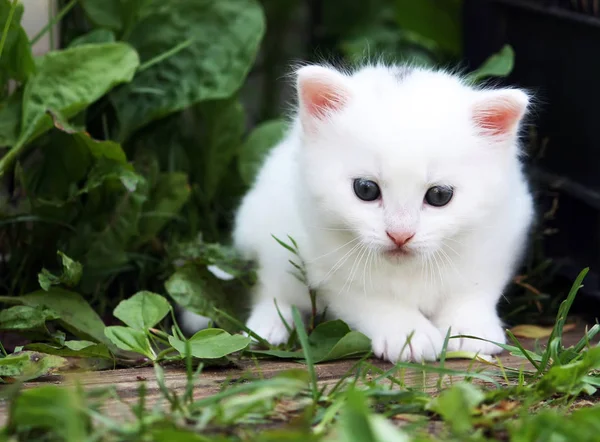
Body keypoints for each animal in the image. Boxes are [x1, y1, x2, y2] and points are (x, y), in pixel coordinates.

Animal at [231, 64, 536, 362]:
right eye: (366, 189)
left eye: (439, 195)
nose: (400, 235)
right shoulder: (324, 266)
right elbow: (372, 299)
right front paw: (410, 335)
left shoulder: (500, 235)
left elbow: (473, 288)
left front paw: (470, 329)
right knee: (270, 285)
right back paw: (267, 326)